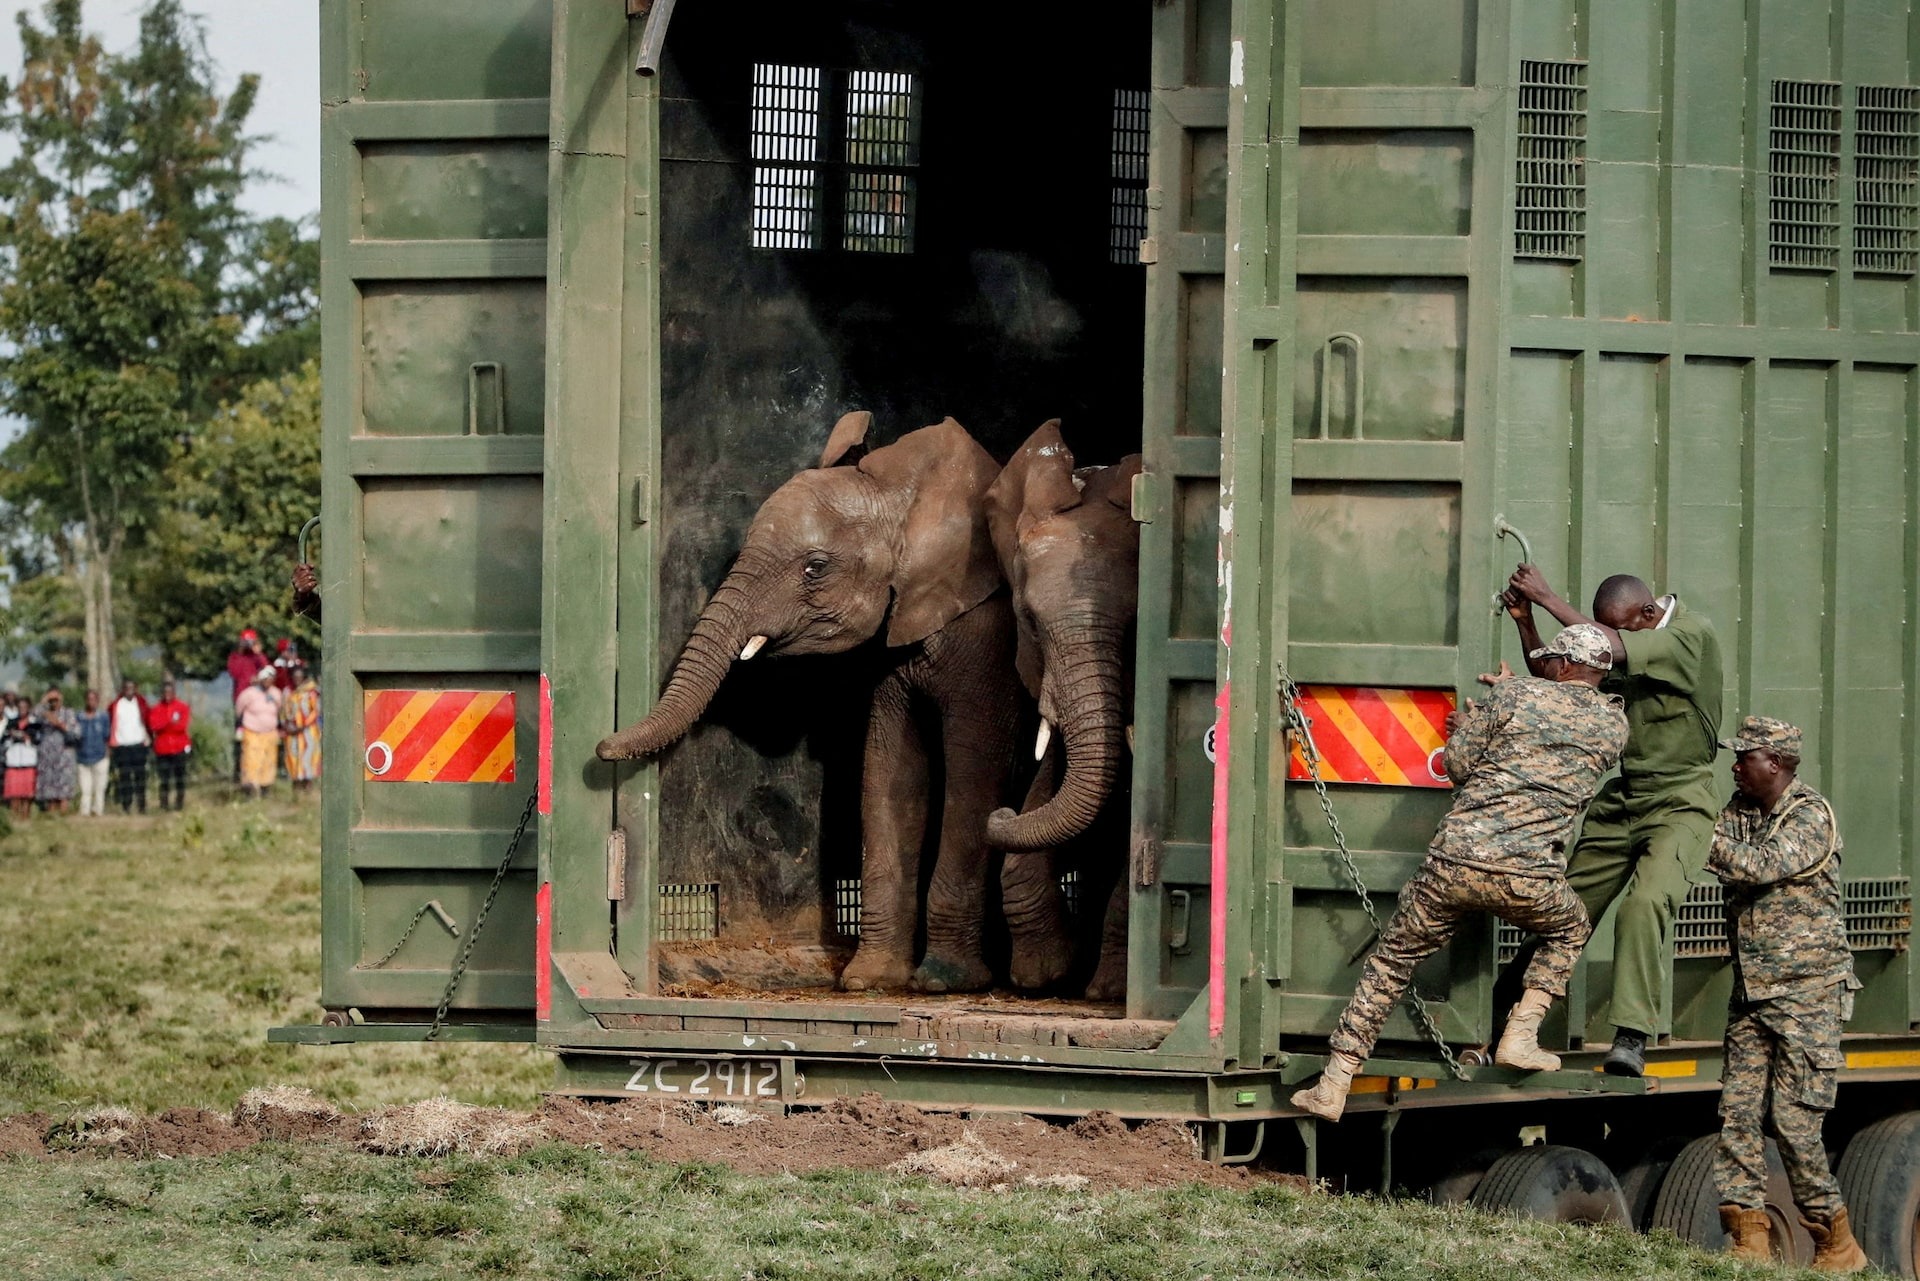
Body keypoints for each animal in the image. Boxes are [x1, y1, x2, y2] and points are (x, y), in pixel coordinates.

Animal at [595, 410, 1021, 990]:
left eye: (814, 568)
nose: (600, 748)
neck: (908, 498)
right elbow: (890, 776)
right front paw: (869, 980)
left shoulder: (989, 638)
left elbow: (972, 777)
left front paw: (942, 980)